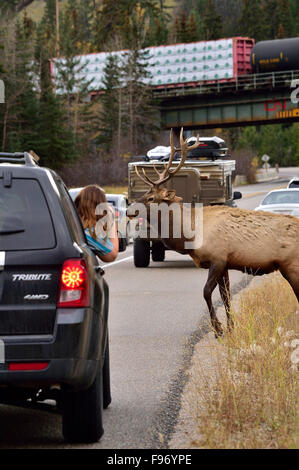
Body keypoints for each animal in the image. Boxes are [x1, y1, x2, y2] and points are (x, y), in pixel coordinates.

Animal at [134, 126, 299, 336]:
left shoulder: (218, 259)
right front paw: (231, 328)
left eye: (151, 198)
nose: (129, 209)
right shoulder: (225, 263)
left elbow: (206, 292)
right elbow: (225, 295)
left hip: (292, 265)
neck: (191, 234)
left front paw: (218, 328)